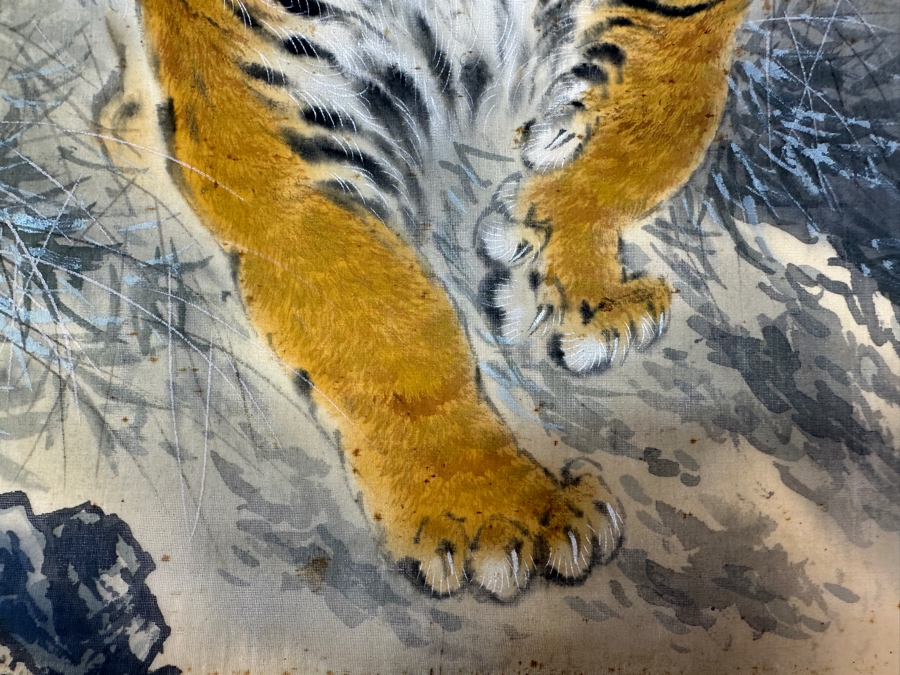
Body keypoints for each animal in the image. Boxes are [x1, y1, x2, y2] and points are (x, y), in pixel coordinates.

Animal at [132, 0, 749, 599]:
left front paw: (573, 289)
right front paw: (495, 511)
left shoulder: (689, 19)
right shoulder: (276, 149)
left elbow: (672, 108)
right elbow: (399, 338)